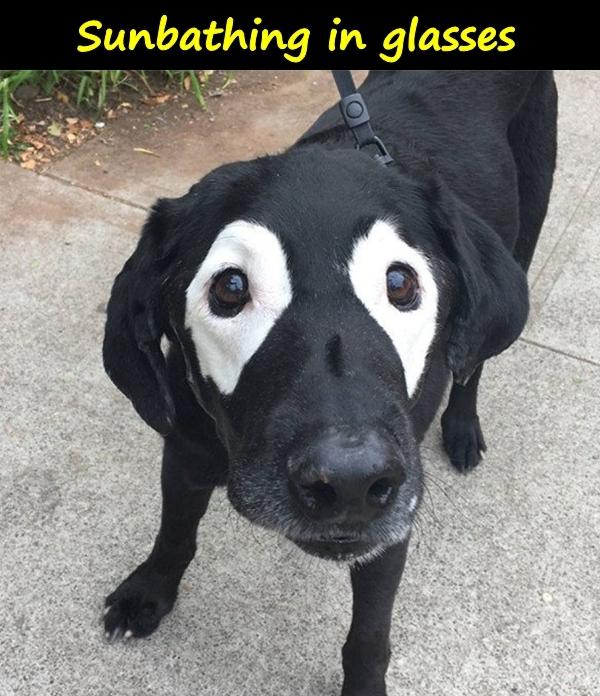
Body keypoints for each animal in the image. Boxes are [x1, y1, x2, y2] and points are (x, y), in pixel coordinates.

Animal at [102, 72, 556, 696]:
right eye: (229, 288)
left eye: (400, 282)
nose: (349, 480)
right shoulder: (186, 449)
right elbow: (174, 531)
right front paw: (149, 591)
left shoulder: (389, 533)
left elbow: (368, 637)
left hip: (527, 224)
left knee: (474, 362)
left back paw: (463, 426)